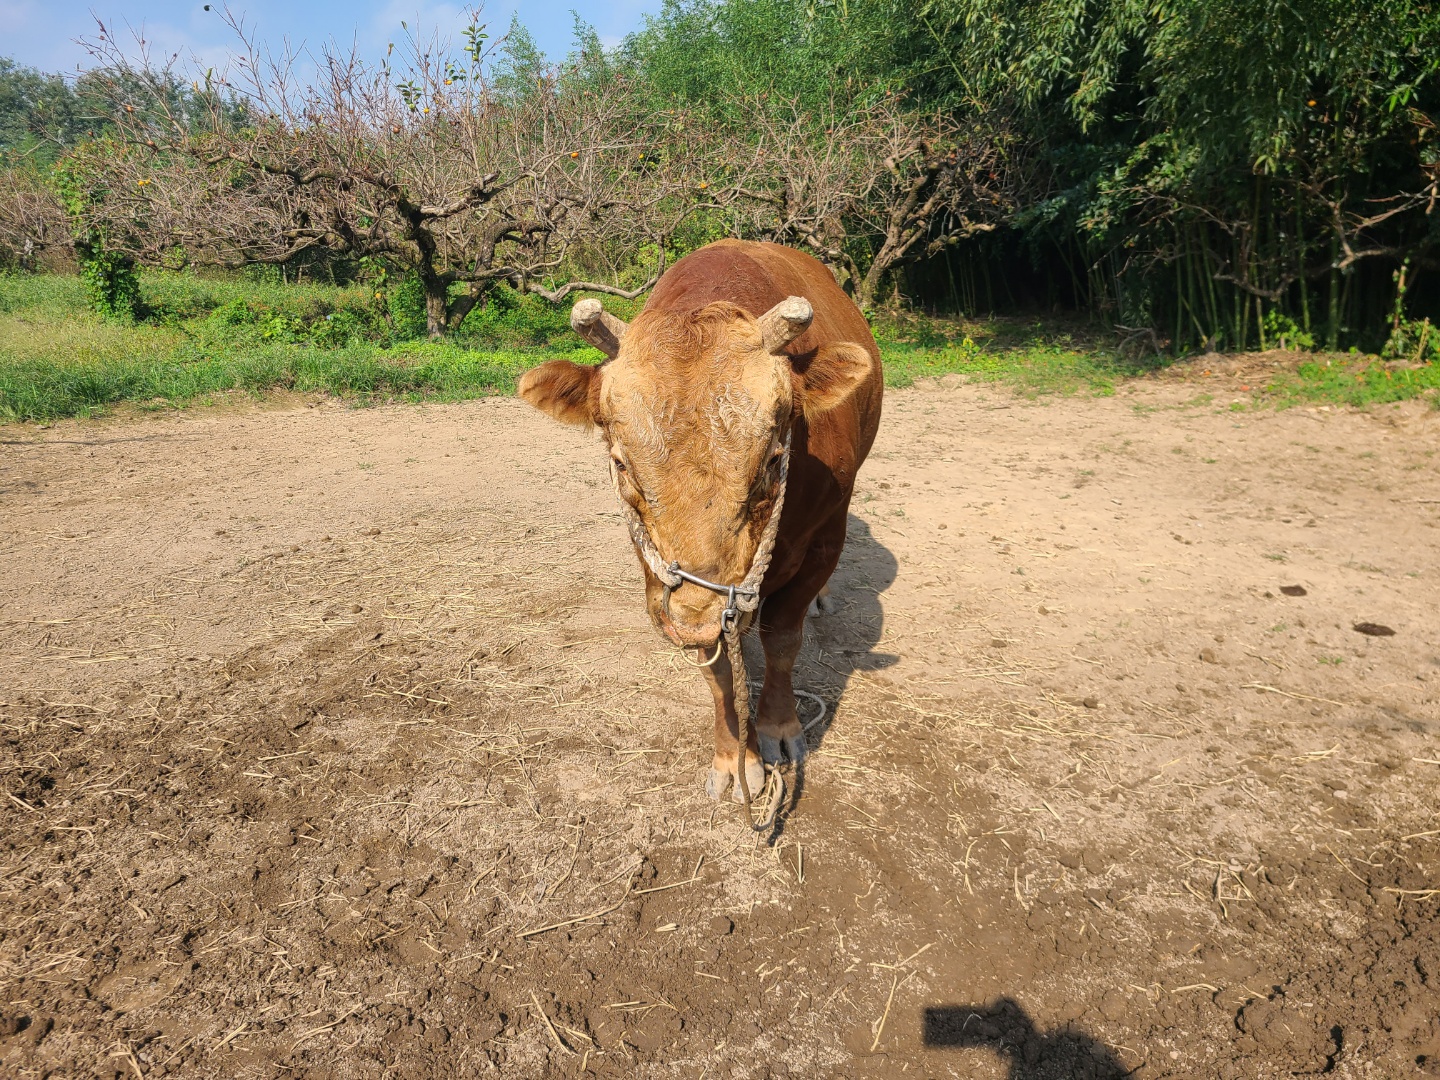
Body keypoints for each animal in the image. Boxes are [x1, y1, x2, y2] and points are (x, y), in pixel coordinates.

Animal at [515, 244, 875, 806]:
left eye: (774, 459)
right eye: (621, 463)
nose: (699, 613)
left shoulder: (824, 538)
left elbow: (782, 638)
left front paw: (778, 728)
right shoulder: (668, 581)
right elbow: (718, 665)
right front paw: (735, 757)